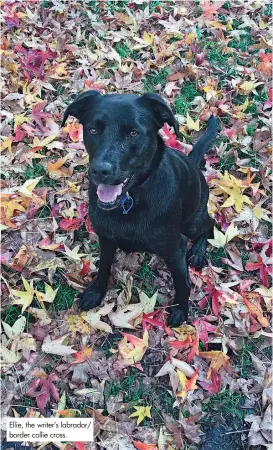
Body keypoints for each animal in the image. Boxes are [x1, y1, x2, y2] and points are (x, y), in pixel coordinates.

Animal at [62, 91, 217, 326]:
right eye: (93, 130)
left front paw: (181, 310)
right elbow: (104, 267)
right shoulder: (106, 238)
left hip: (193, 222)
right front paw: (96, 292)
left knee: (211, 223)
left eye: (134, 133)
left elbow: (182, 284)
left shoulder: (175, 248)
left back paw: (198, 252)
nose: (100, 171)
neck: (130, 201)